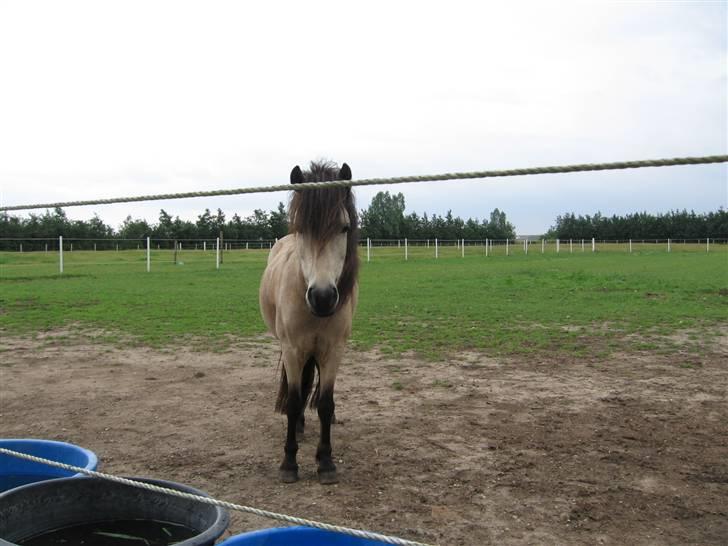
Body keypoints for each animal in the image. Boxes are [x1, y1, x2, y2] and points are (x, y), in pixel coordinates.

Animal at [258, 159, 358, 482]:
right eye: (303, 227)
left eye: (344, 227)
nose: (323, 297)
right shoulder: (292, 349)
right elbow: (292, 400)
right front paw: (289, 462)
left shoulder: (333, 350)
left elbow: (325, 404)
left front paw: (325, 461)